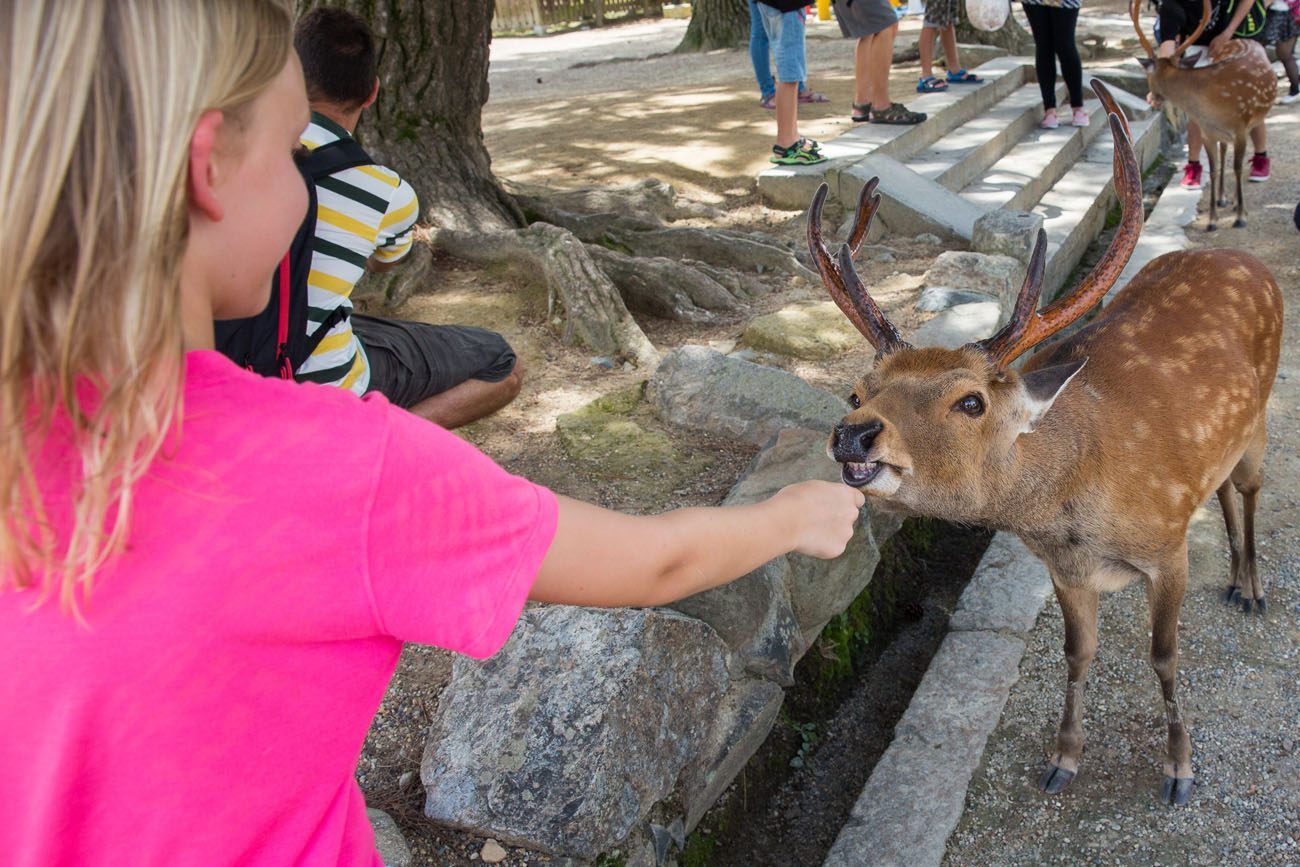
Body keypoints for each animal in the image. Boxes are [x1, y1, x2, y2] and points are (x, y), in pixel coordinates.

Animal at [811, 81, 1279, 805]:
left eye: (970, 400)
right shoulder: (1064, 570)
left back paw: (1250, 587)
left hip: (1263, 415)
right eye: (858, 392)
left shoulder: (1168, 546)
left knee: (1251, 487)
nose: (854, 434)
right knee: (1225, 484)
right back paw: (1233, 579)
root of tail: (1252, 261)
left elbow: (1165, 656)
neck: (1077, 516)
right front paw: (1063, 758)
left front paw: (1180, 768)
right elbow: (1076, 653)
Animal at [1133, 0, 1274, 230]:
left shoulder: (1240, 127)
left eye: (1148, 76)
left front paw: (1241, 217)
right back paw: (1224, 198)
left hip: (1252, 120)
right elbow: (1214, 169)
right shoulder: (1207, 131)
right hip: (1222, 134)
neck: (1212, 101)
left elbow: (1237, 168)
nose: (1153, 98)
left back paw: (1238, 201)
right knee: (1224, 151)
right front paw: (1212, 219)